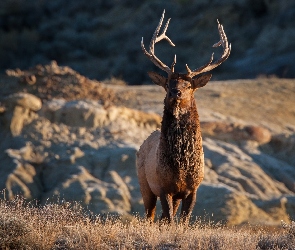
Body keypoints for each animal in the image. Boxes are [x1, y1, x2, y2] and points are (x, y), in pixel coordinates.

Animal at [136, 10, 231, 224]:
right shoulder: (163, 186)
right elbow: (171, 220)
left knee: (161, 217)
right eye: (167, 83)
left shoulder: (192, 188)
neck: (181, 166)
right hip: (145, 183)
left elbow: (183, 222)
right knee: (151, 216)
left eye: (188, 85)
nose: (175, 92)